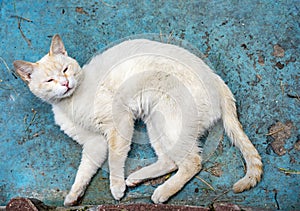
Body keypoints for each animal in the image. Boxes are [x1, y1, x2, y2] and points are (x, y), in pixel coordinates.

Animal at [13, 34, 262, 206]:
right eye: (49, 80)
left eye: (65, 69)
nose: (65, 83)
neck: (70, 103)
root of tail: (216, 78)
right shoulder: (94, 143)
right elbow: (83, 171)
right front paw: (74, 196)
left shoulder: (119, 122)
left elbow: (115, 159)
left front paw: (116, 187)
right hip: (154, 121)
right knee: (170, 161)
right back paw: (136, 178)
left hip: (167, 119)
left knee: (192, 162)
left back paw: (161, 192)